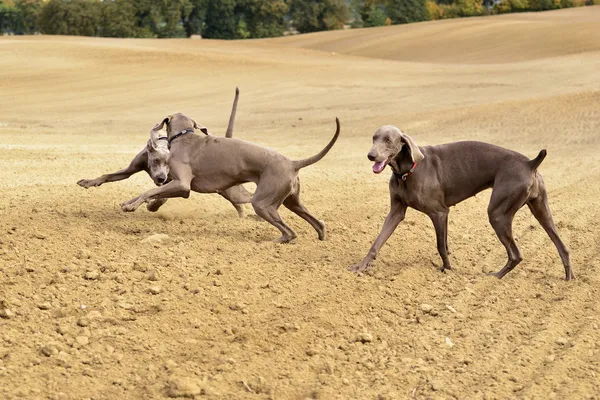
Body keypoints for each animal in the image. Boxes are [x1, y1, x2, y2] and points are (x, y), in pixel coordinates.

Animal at [77, 89, 251, 217]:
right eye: (155, 160)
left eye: (169, 166)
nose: (161, 178)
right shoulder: (132, 168)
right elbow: (107, 175)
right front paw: (88, 182)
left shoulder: (178, 184)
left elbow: (158, 196)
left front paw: (151, 205)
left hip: (231, 191)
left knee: (243, 202)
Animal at [119, 114, 340, 242]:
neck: (185, 136)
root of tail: (293, 163)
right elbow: (149, 193)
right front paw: (128, 204)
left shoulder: (182, 185)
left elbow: (149, 191)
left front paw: (133, 206)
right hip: (290, 201)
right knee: (317, 222)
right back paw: (321, 236)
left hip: (262, 203)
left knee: (289, 232)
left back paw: (270, 242)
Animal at [350, 126, 576, 282]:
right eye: (374, 138)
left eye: (388, 140)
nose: (371, 155)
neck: (407, 172)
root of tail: (530, 163)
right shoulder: (396, 212)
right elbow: (377, 242)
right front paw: (361, 266)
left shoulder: (439, 212)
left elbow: (441, 246)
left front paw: (448, 270)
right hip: (540, 208)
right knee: (562, 246)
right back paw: (569, 278)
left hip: (497, 213)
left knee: (516, 254)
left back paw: (494, 277)